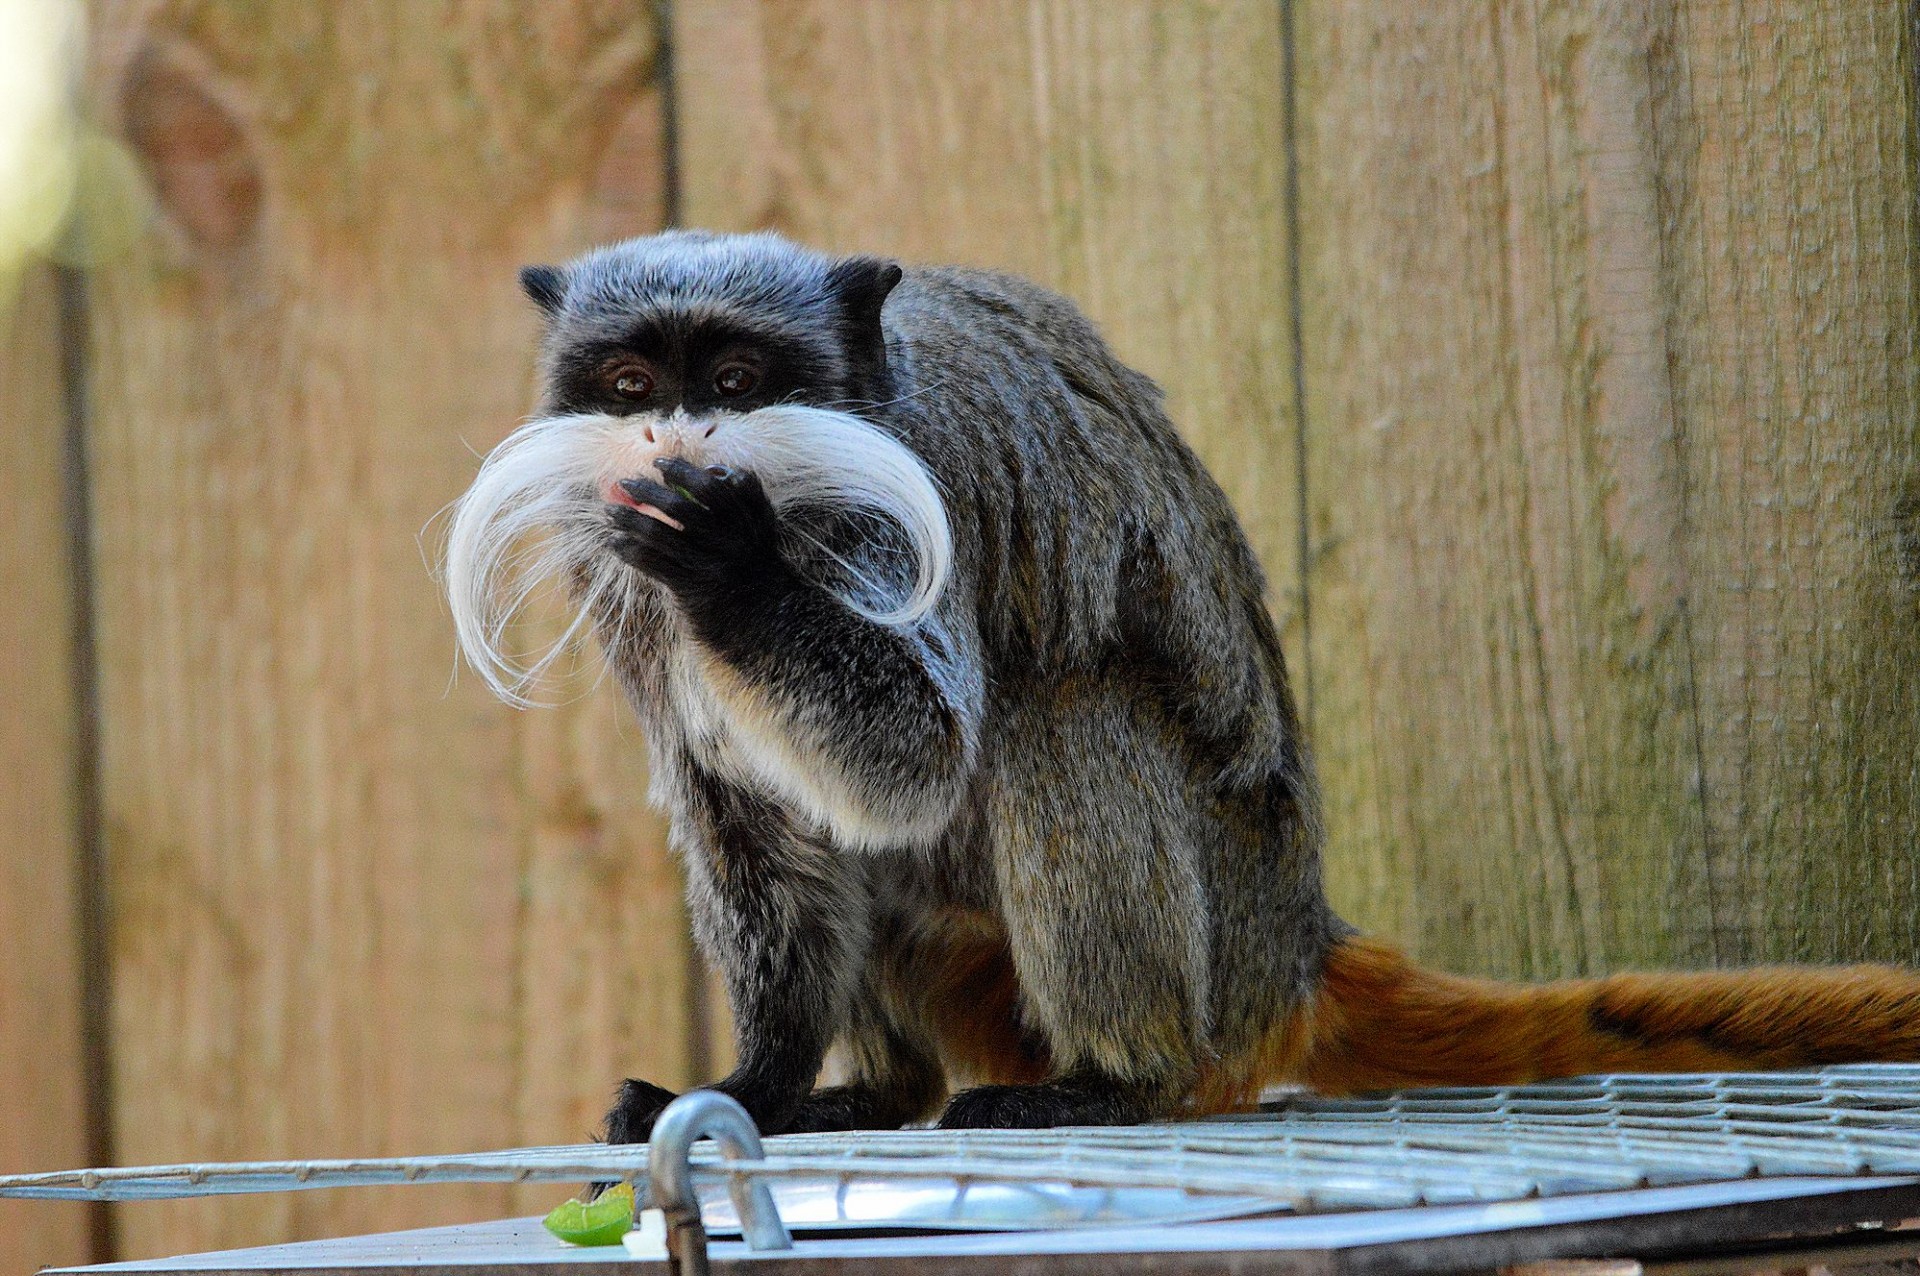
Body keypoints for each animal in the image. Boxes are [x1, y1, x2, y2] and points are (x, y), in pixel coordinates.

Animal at [441, 231, 1920, 1143]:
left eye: (739, 377)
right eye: (629, 377)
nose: (671, 431)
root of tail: (1298, 945)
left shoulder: (889, 512)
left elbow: (914, 756)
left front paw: (738, 574)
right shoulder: (628, 586)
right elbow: (745, 816)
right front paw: (758, 1082)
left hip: (1225, 942)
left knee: (1058, 715)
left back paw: (1117, 1079)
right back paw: (875, 1093)